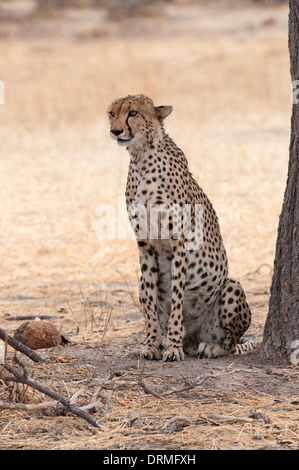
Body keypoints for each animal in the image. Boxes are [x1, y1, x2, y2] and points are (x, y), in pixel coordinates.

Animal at [108, 93, 253, 362]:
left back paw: (208, 347)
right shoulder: (144, 246)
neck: (141, 157)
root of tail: (193, 338)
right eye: (112, 113)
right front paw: (153, 344)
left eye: (133, 113)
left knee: (230, 343)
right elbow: (151, 302)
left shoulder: (178, 245)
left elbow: (177, 299)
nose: (115, 131)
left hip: (231, 287)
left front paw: (173, 348)